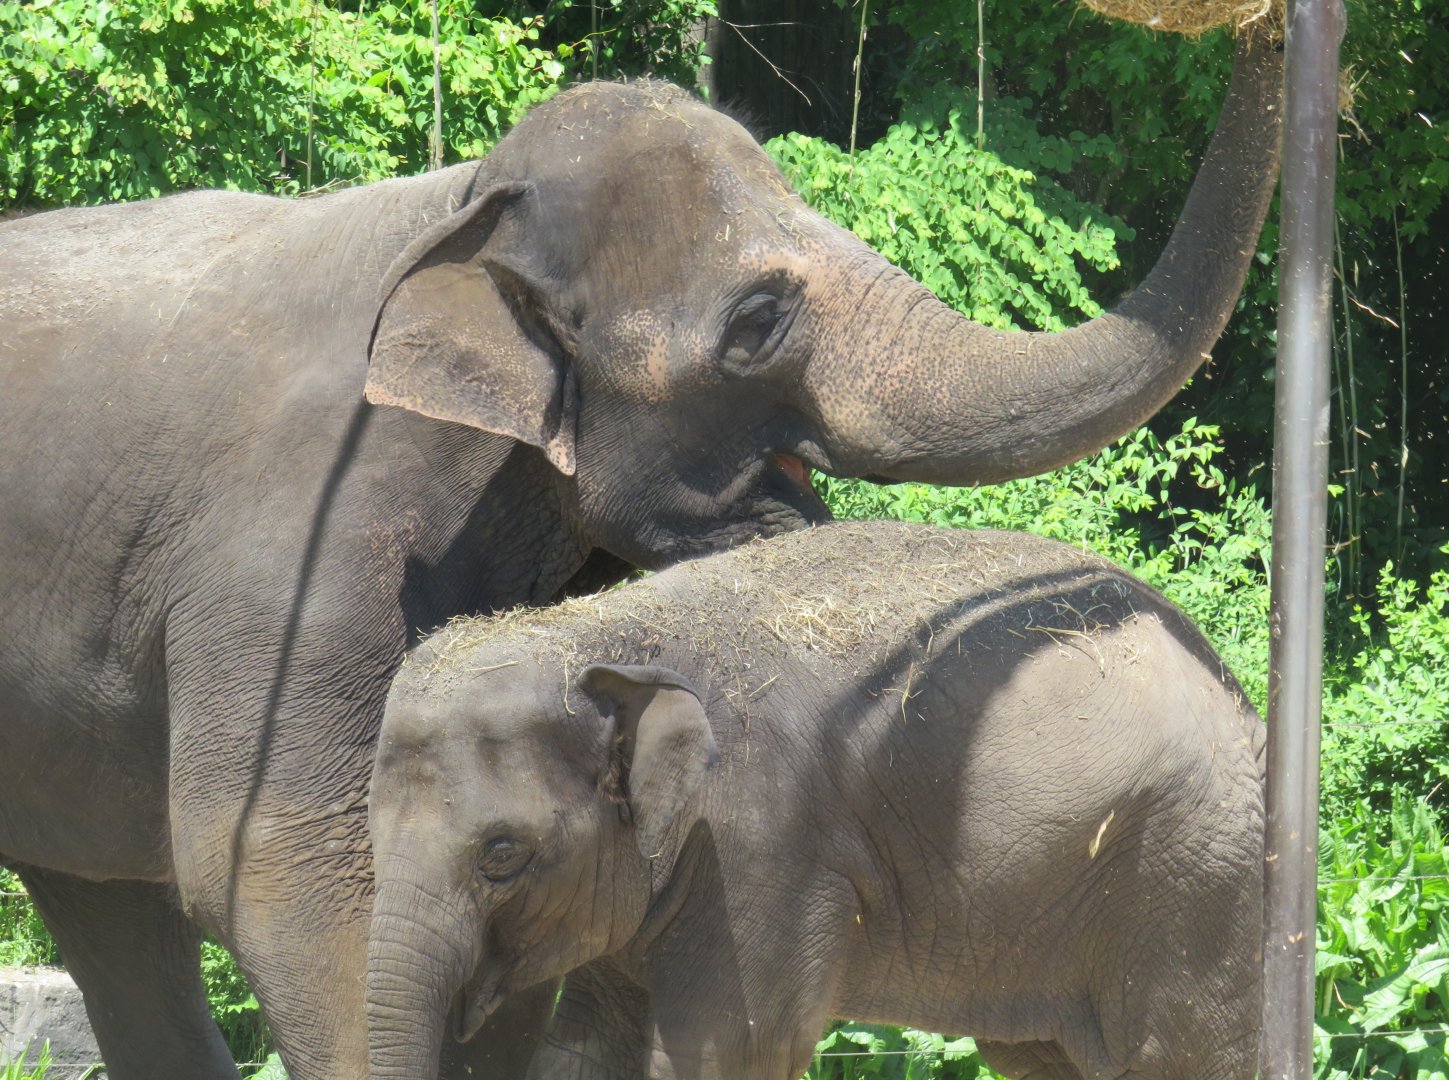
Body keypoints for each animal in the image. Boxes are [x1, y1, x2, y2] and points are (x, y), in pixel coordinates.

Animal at [369, 519, 1267, 1080]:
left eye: (501, 856)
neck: (607, 631)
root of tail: (1237, 694)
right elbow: (583, 1054)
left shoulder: (762, 851)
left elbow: (726, 1053)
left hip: (1191, 875)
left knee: (1179, 1056)